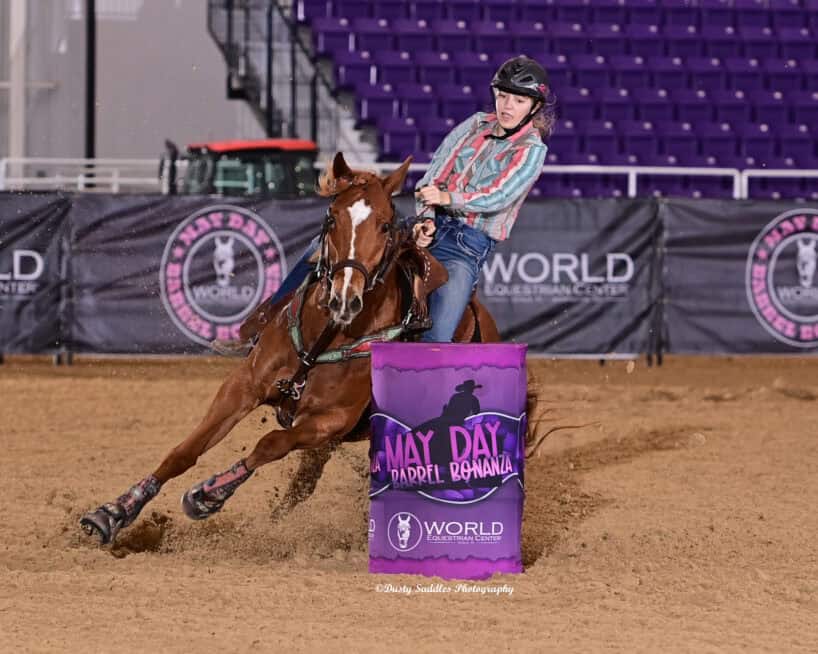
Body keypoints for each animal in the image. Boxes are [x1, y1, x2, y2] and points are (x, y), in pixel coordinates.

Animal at [80, 152, 502, 546]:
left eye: (385, 225)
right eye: (331, 219)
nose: (344, 299)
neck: (327, 337)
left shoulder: (329, 421)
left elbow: (271, 444)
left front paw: (208, 494)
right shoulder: (244, 386)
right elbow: (186, 450)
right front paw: (114, 511)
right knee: (302, 486)